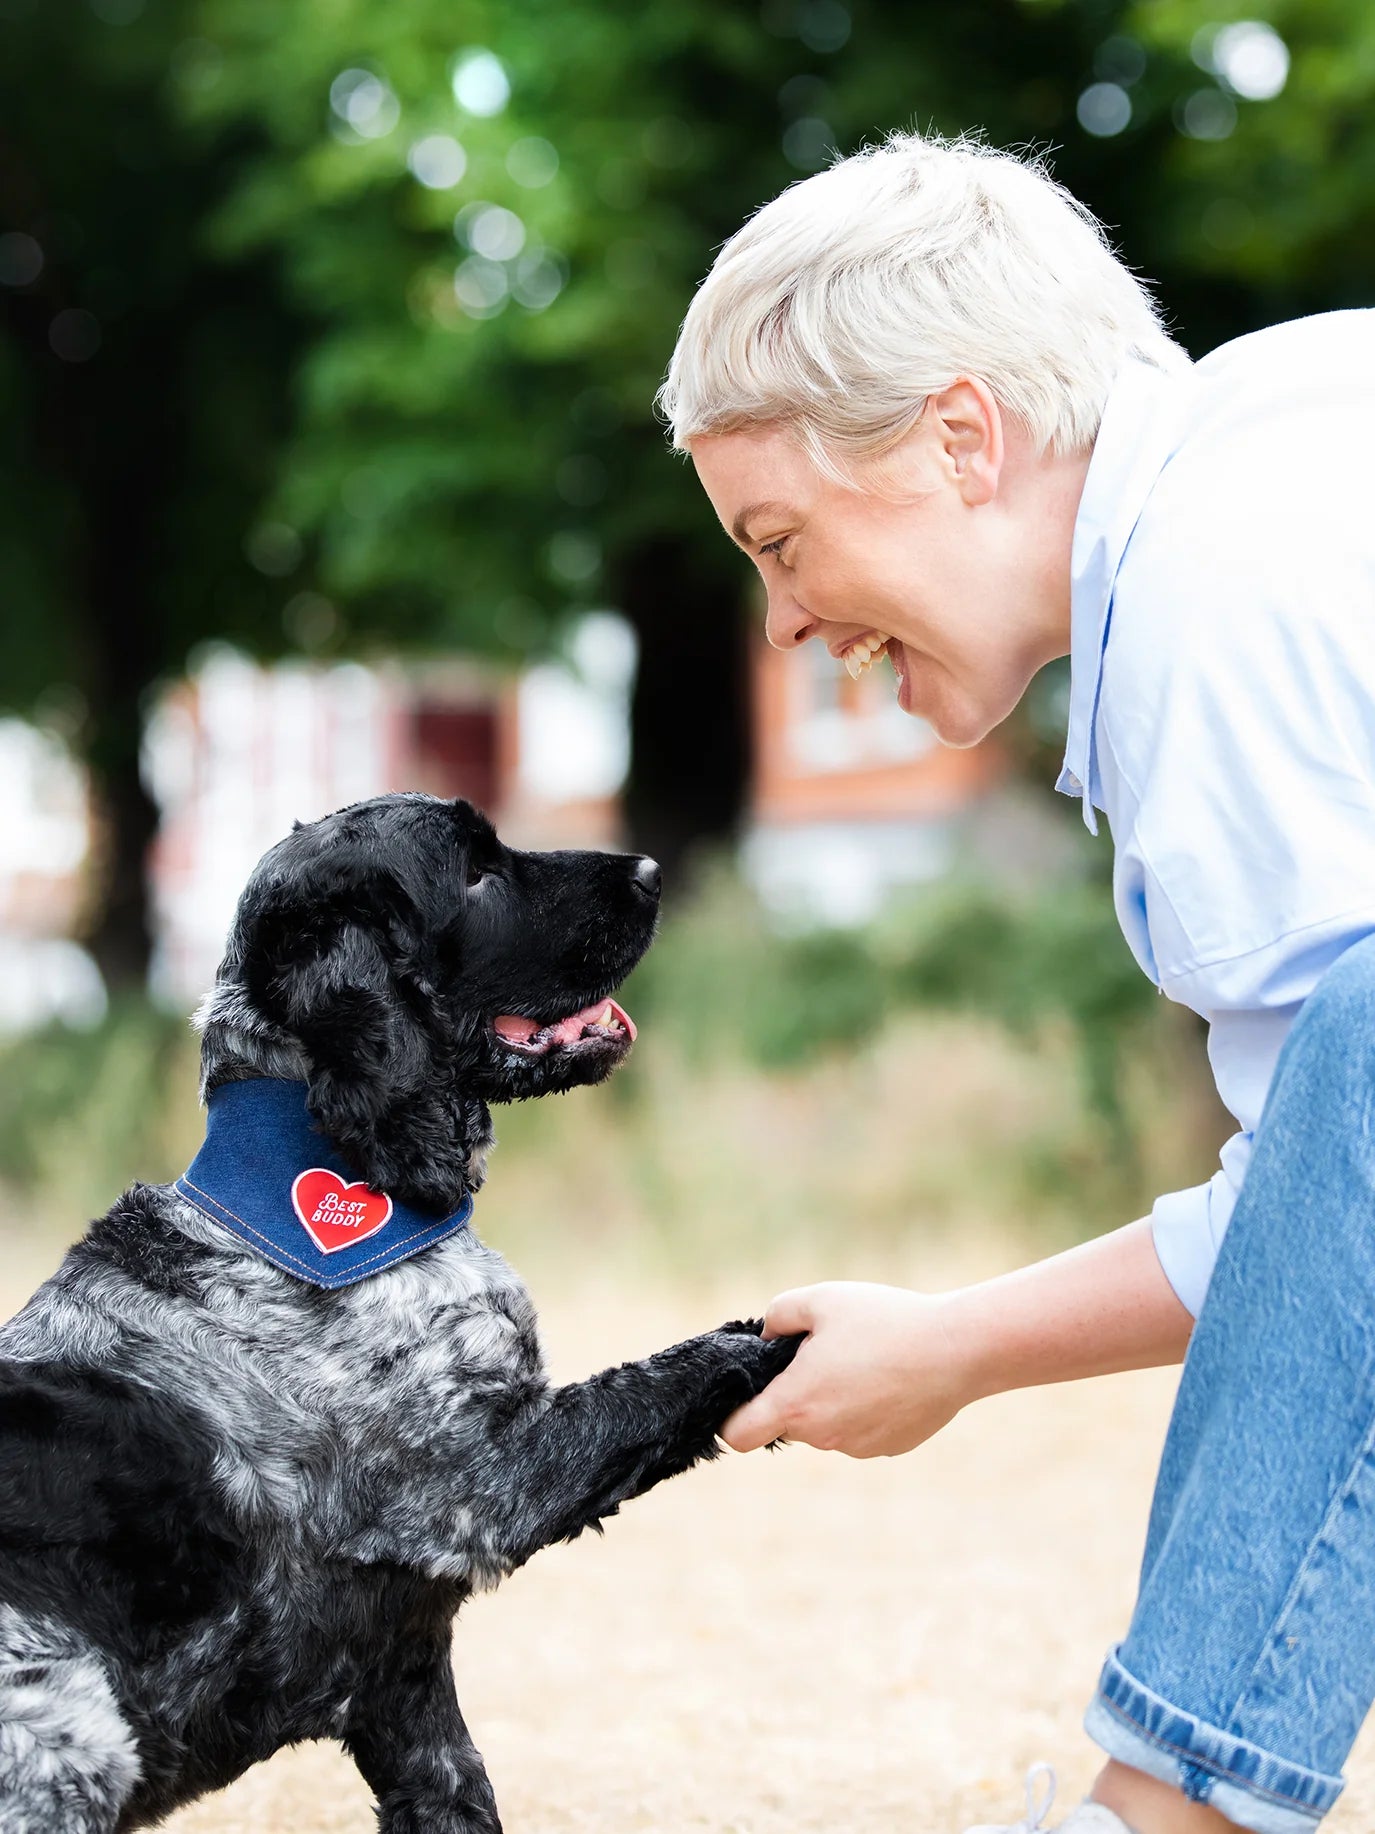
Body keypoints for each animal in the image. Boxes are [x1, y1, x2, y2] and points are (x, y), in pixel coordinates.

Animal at [0, 795, 803, 1834]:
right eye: (474, 870)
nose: (651, 870)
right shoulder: (487, 1481)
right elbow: (674, 1374)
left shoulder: (407, 1691)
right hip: (71, 1734)